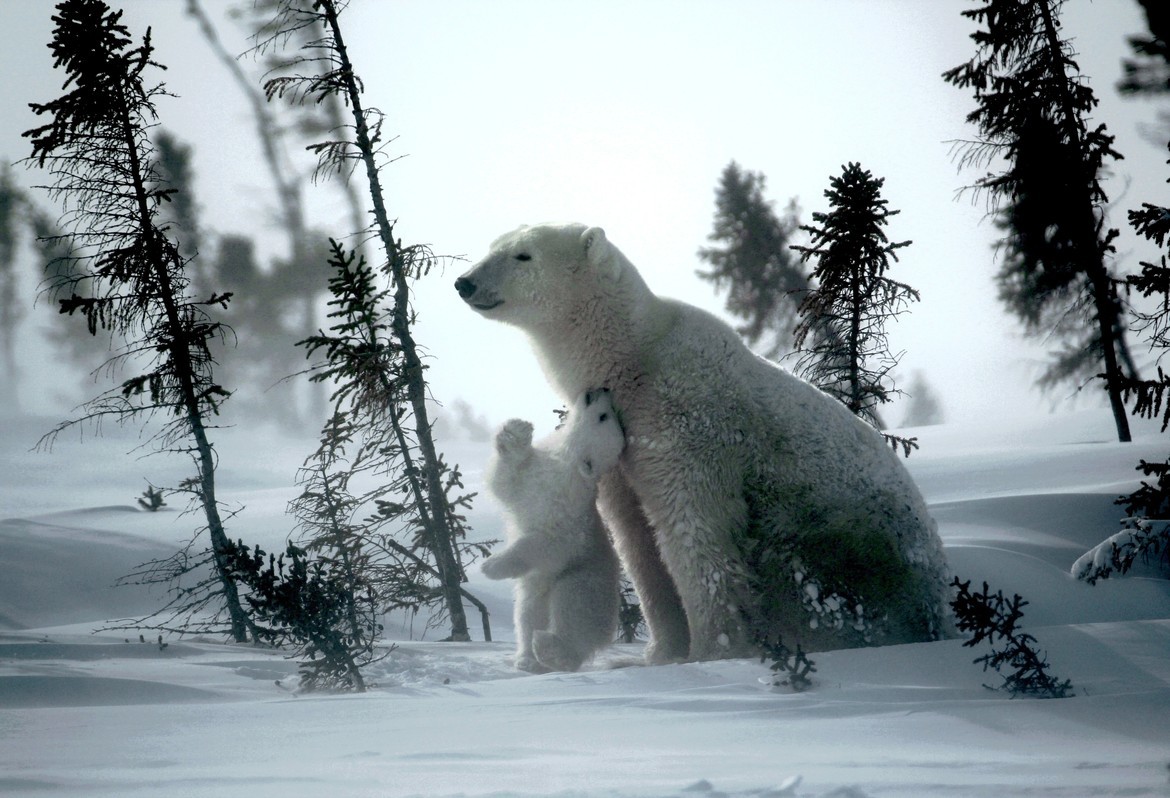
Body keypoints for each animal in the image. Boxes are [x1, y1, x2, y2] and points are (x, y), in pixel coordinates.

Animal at [481, 388, 625, 672]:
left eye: (603, 416)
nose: (600, 390)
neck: (565, 465)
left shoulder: (569, 516)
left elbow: (547, 544)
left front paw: (492, 565)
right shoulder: (534, 475)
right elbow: (506, 481)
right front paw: (517, 431)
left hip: (586, 578)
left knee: (572, 609)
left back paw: (552, 649)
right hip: (538, 590)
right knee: (528, 613)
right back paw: (528, 659)